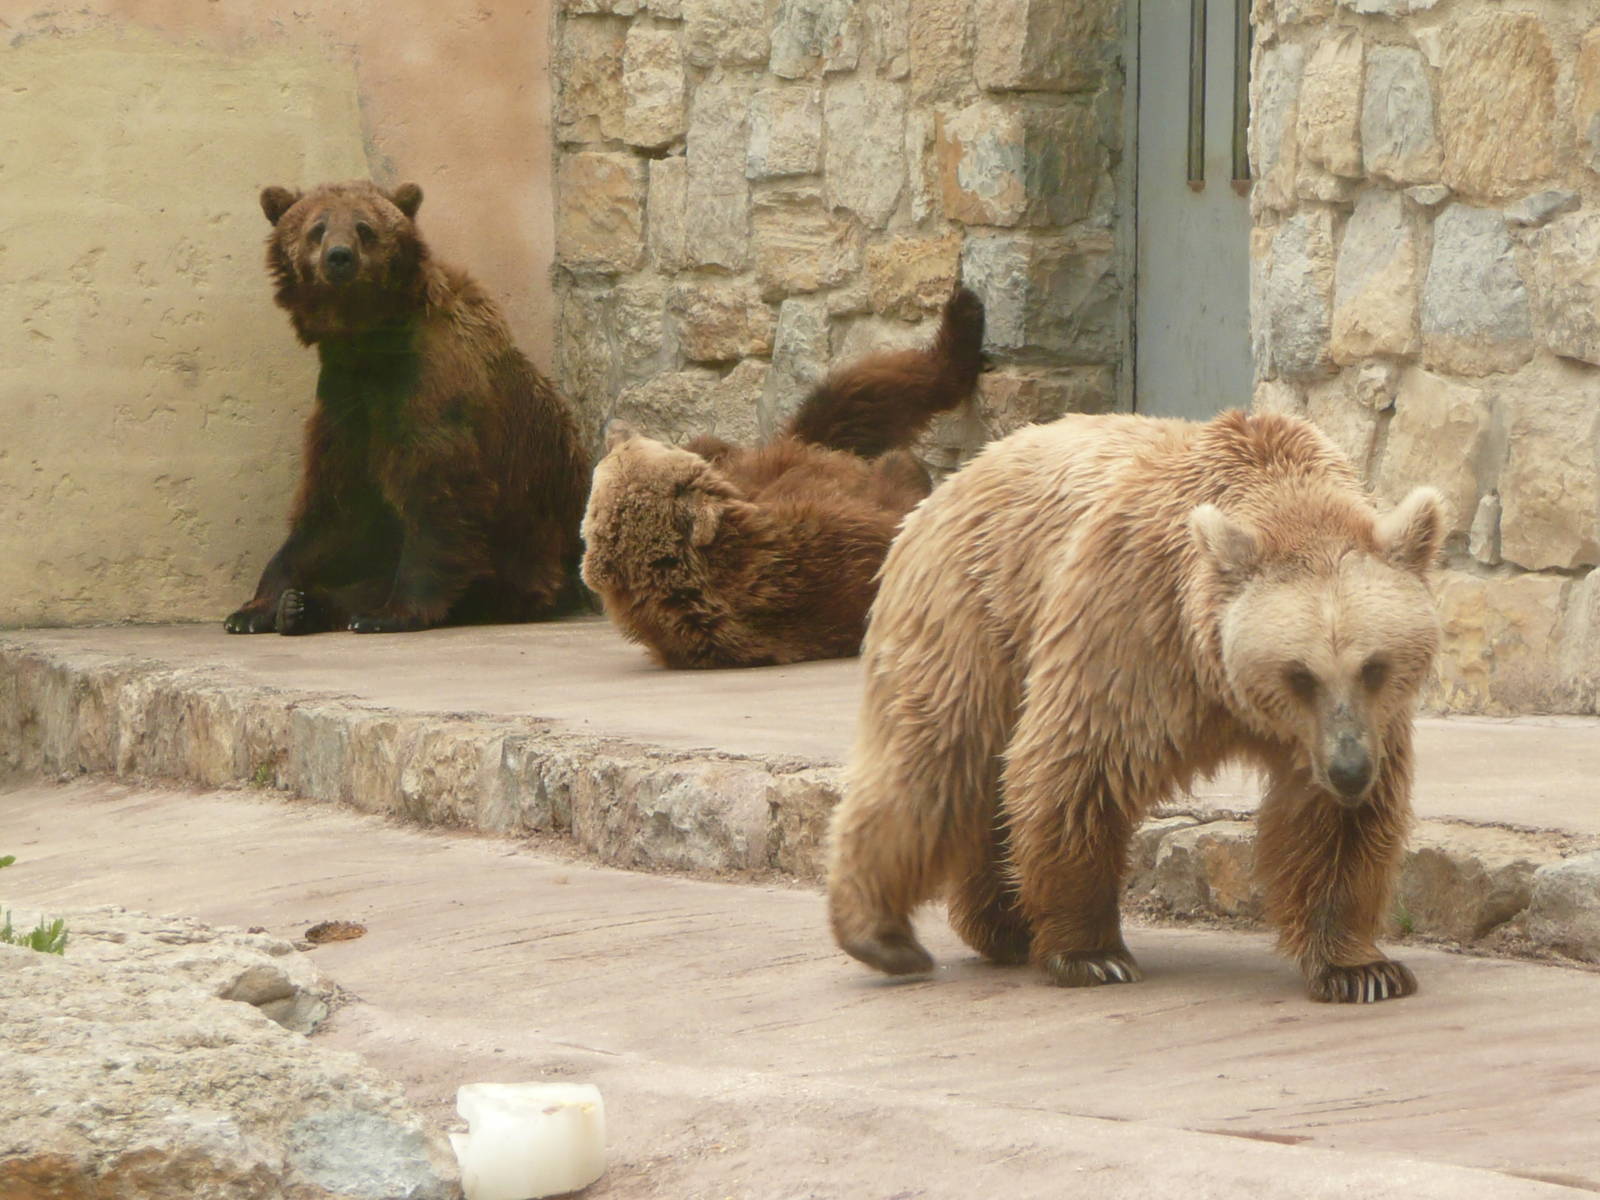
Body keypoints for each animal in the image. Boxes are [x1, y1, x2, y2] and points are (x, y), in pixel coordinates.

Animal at [224, 180, 589, 635]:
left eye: (364, 227)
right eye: (317, 228)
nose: (339, 257)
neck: (367, 345)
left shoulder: (428, 389)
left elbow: (436, 495)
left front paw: (390, 613)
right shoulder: (344, 402)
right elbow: (335, 503)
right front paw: (255, 606)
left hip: (523, 559)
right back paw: (297, 607)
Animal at [580, 288, 985, 669]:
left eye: (618, 452)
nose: (613, 426)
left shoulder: (761, 480)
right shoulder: (829, 554)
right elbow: (896, 510)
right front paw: (904, 467)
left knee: (852, 398)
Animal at [826, 409, 1445, 1004]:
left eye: (1374, 666)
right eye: (1300, 674)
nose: (1349, 769)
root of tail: (950, 481)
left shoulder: (1355, 727)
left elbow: (1336, 827)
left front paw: (1360, 969)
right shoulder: (1135, 632)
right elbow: (1078, 769)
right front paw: (1091, 955)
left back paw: (1002, 925)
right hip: (972, 612)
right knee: (933, 760)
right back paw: (881, 933)